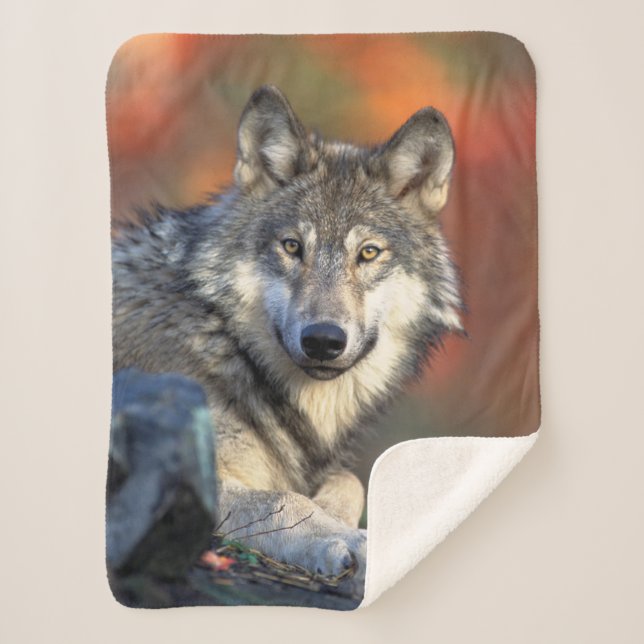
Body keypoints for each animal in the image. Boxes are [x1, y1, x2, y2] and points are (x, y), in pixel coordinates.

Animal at [112, 85, 462, 583]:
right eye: (293, 247)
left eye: (368, 253)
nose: (323, 340)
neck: (225, 343)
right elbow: (283, 499)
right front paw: (351, 541)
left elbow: (350, 481)